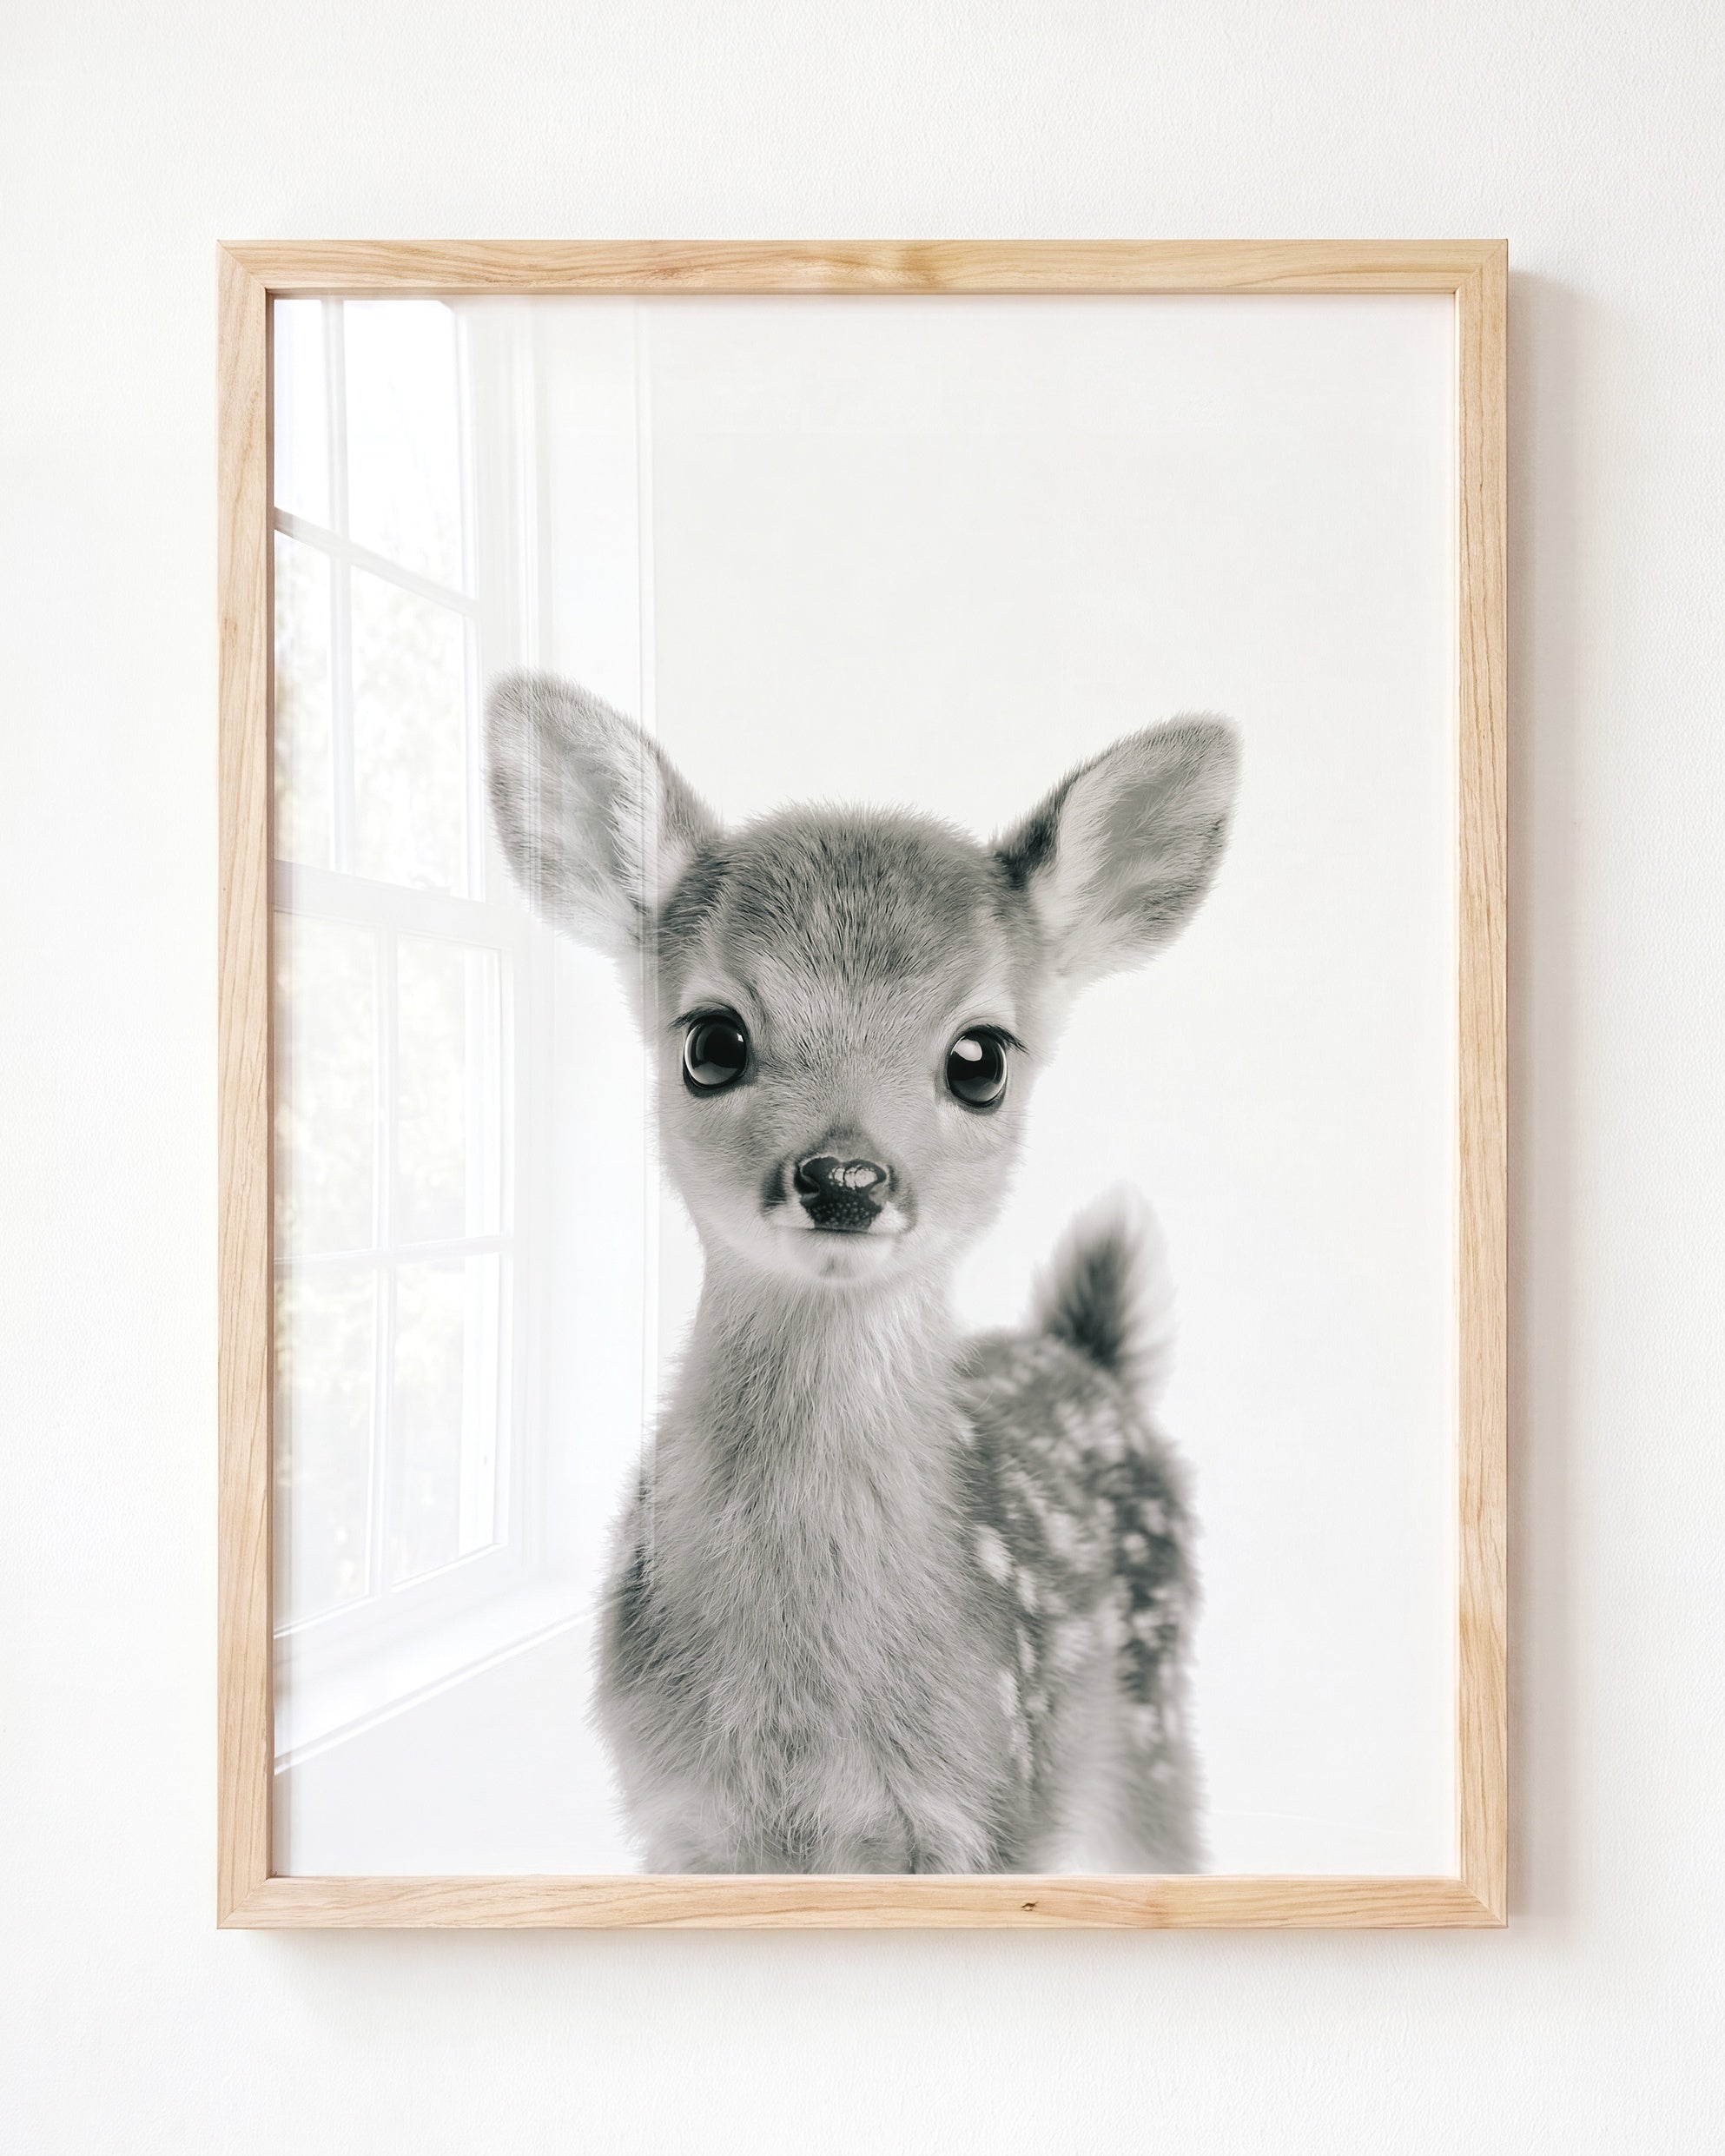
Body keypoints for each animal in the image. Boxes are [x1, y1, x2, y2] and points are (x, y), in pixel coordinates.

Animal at [486, 671, 1238, 1874]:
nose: (843, 1176)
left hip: (1149, 1730)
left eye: (981, 1058)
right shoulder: (680, 1818)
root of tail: (1088, 1358)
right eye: (711, 1041)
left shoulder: (987, 1807)